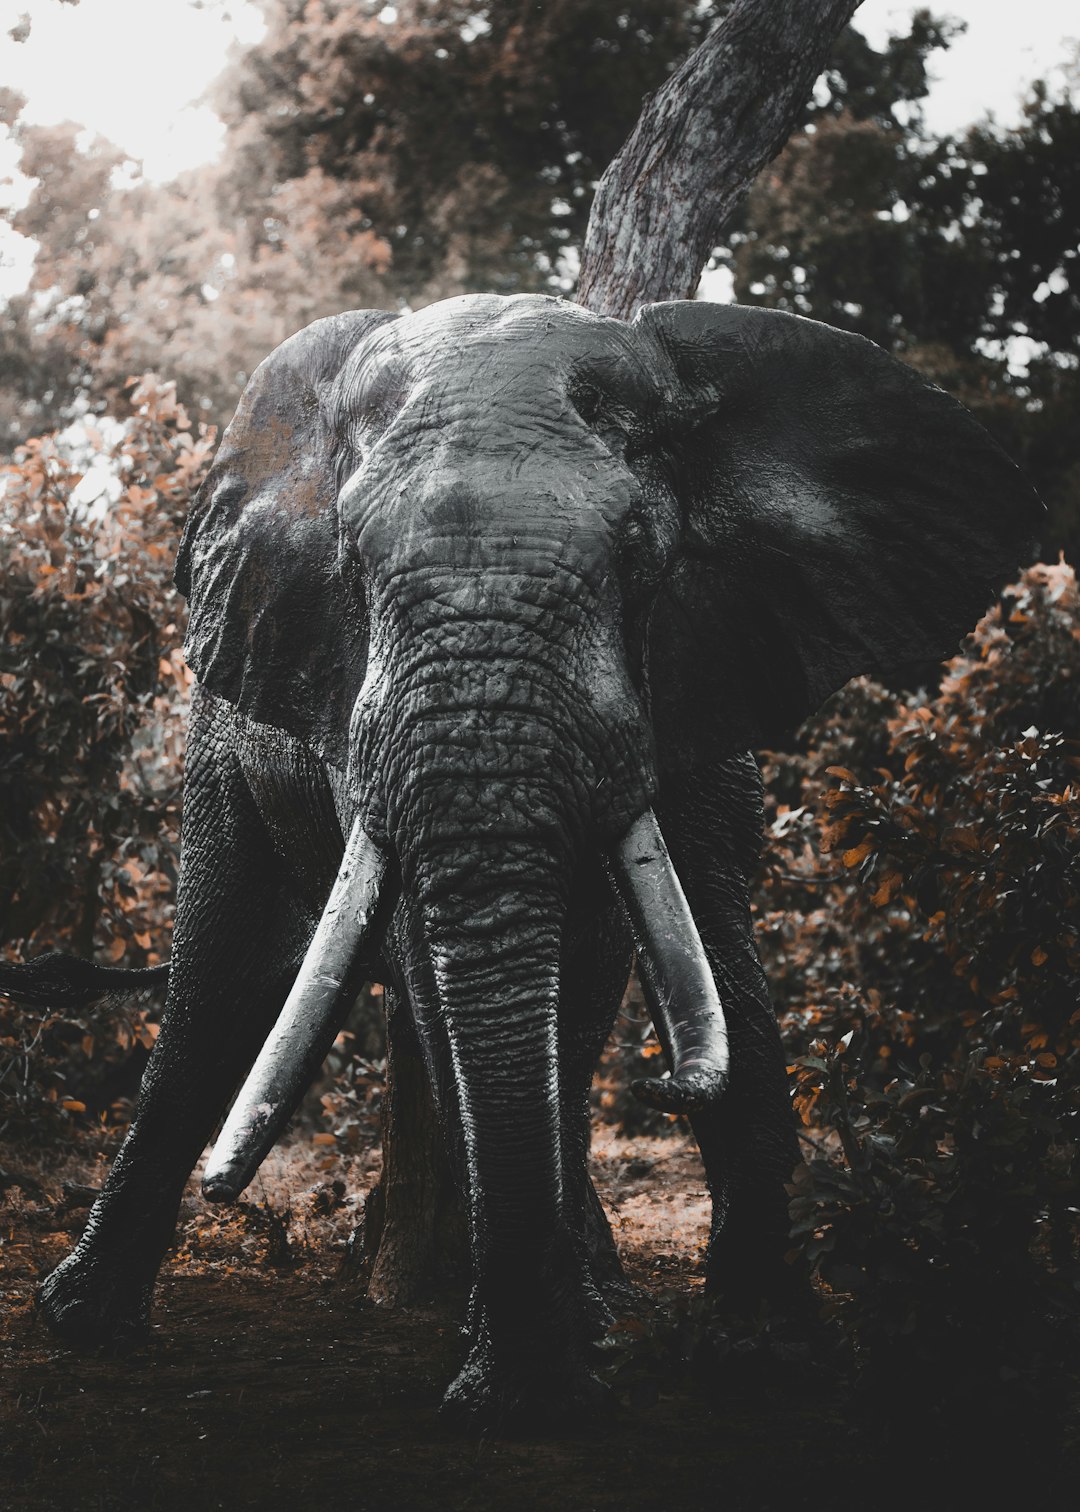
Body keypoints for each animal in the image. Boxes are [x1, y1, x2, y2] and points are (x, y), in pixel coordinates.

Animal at [20, 294, 1040, 1427]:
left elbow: (724, 958)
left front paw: (763, 1357)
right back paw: (85, 1322)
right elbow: (431, 965)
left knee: (575, 999)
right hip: (221, 743)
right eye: (355, 568)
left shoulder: (703, 669)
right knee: (223, 989)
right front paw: (525, 1382)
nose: (667, 1085)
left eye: (637, 555)